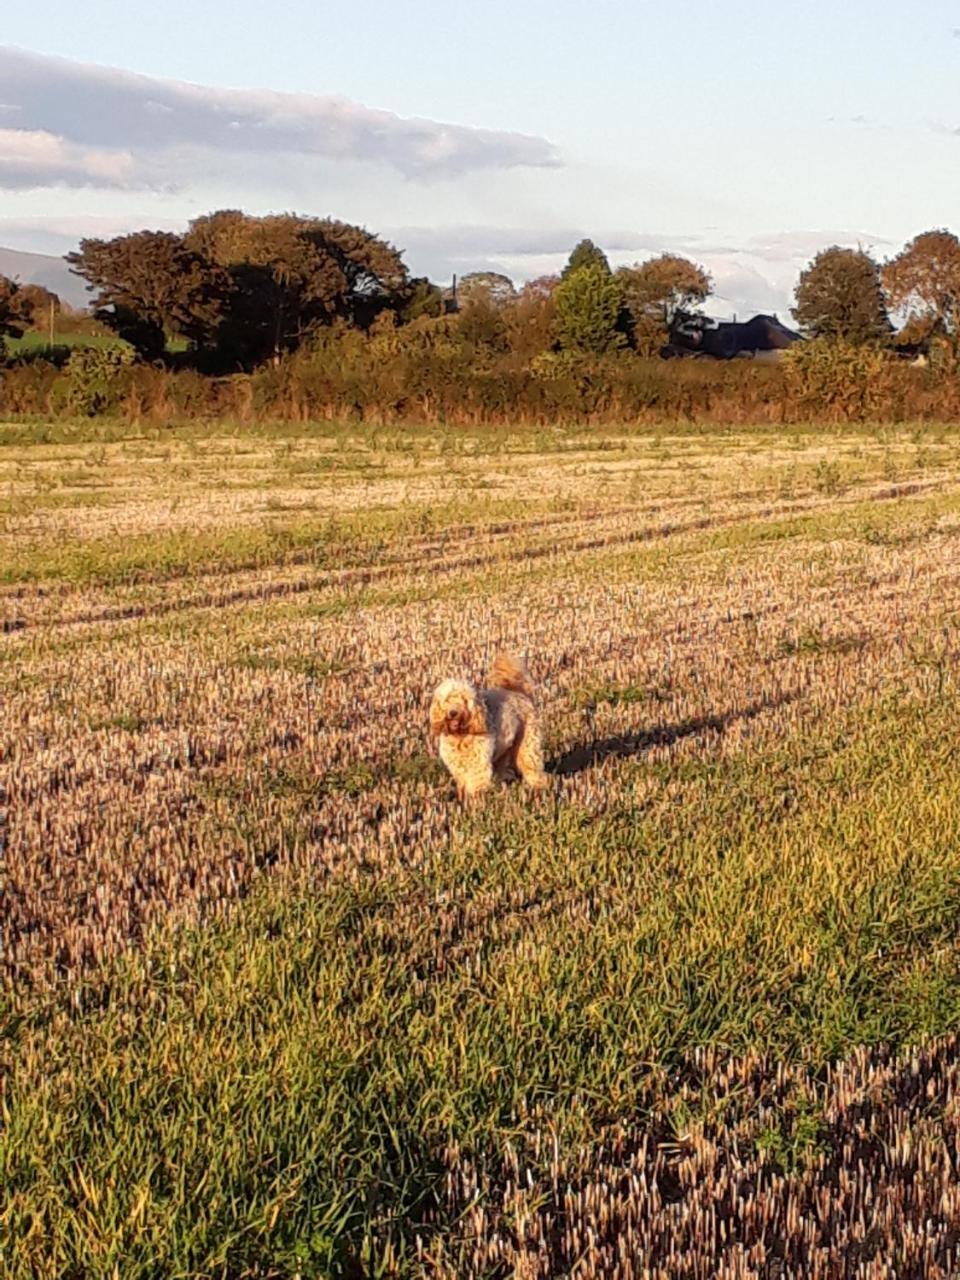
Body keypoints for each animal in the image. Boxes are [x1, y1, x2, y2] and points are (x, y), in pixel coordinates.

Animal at [430, 660, 547, 798]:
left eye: (464, 699)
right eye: (447, 699)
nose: (453, 712)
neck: (461, 734)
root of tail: (519, 693)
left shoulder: (479, 762)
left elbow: (477, 784)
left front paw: (477, 801)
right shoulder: (457, 764)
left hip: (527, 746)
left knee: (534, 769)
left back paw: (539, 790)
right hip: (503, 751)